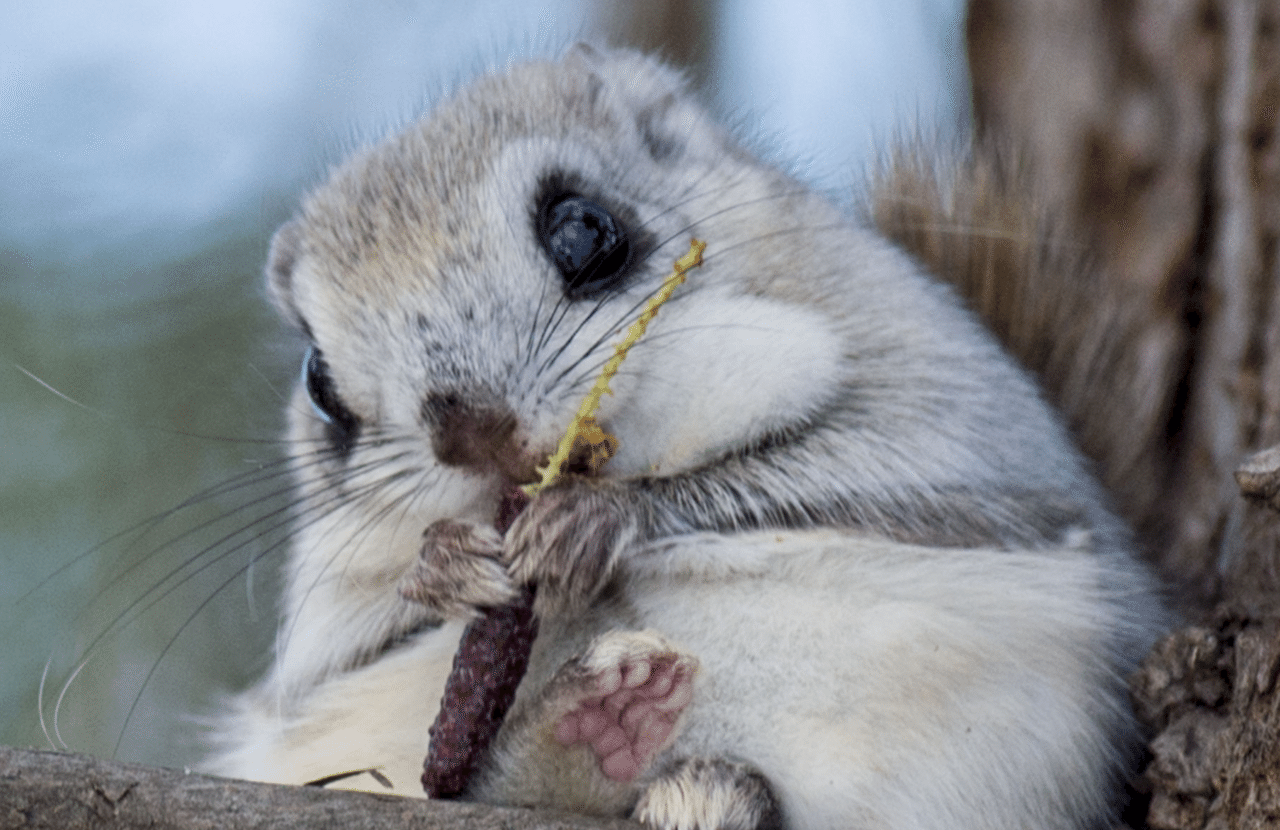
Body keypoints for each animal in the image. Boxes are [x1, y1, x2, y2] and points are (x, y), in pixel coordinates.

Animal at [204, 43, 1172, 830]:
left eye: (585, 228)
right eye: (320, 384)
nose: (469, 433)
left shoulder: (953, 417)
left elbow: (854, 468)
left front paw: (599, 521)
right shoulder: (328, 636)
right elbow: (343, 643)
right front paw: (444, 564)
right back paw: (595, 724)